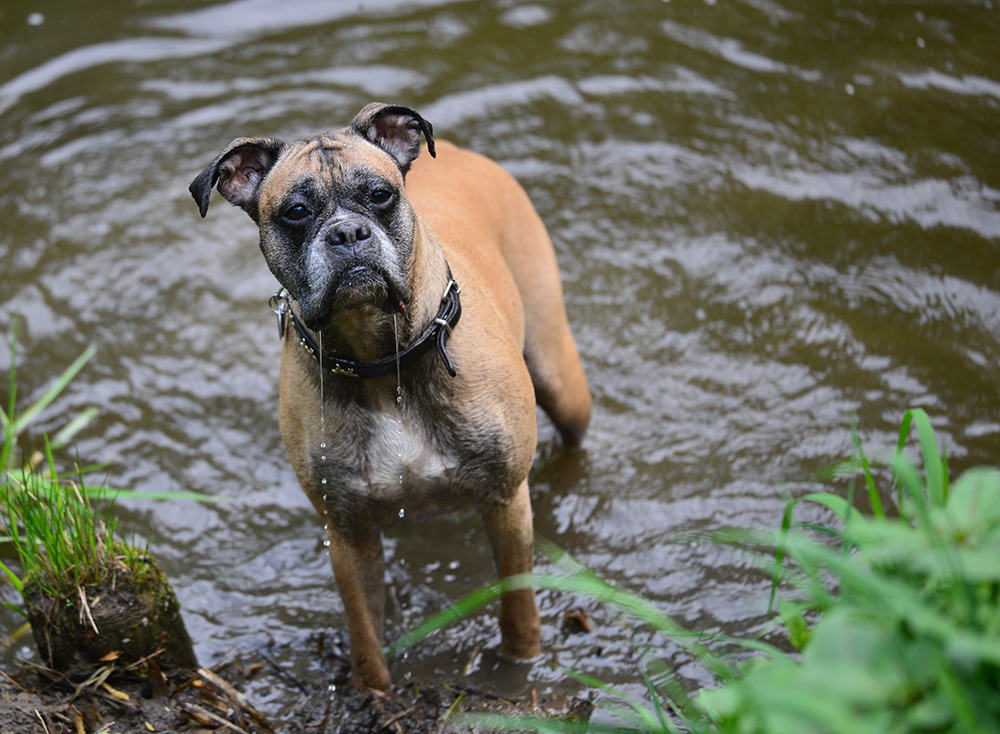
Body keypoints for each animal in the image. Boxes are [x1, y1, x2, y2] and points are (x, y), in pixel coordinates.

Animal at [191, 102, 588, 688]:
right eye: (296, 211)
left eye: (380, 195)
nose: (348, 233)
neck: (383, 364)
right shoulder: (349, 533)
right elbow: (365, 634)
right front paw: (374, 693)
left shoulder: (506, 502)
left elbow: (518, 606)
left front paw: (520, 665)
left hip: (561, 381)